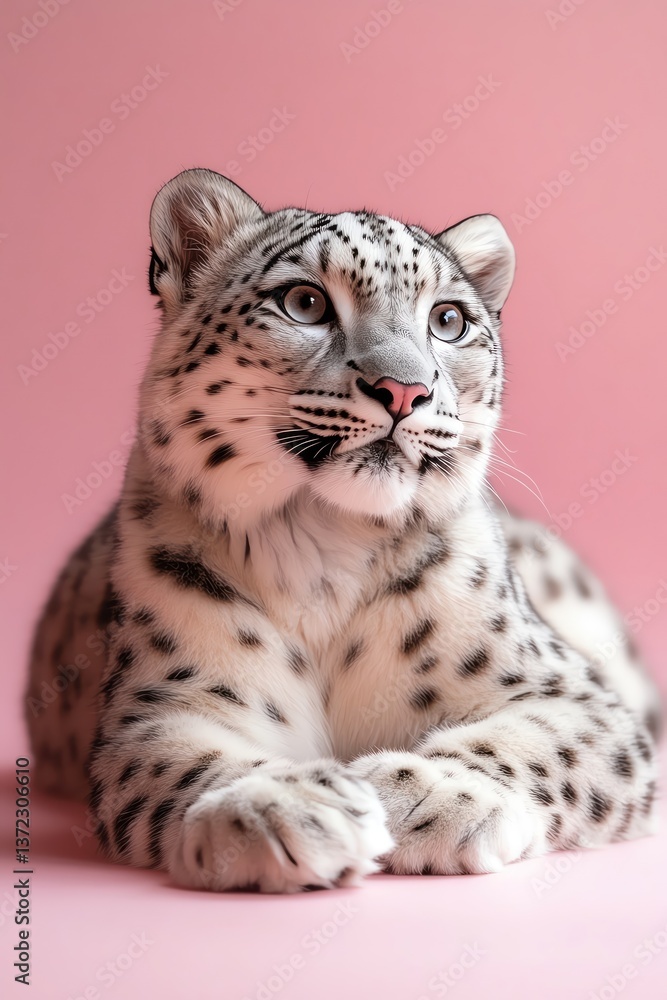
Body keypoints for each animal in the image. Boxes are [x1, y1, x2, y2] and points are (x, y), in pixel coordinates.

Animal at [26, 167, 661, 893]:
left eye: (448, 319)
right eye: (304, 302)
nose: (404, 390)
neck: (326, 545)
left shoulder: (573, 692)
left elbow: (542, 742)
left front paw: (428, 792)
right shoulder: (163, 702)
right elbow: (181, 759)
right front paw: (284, 805)